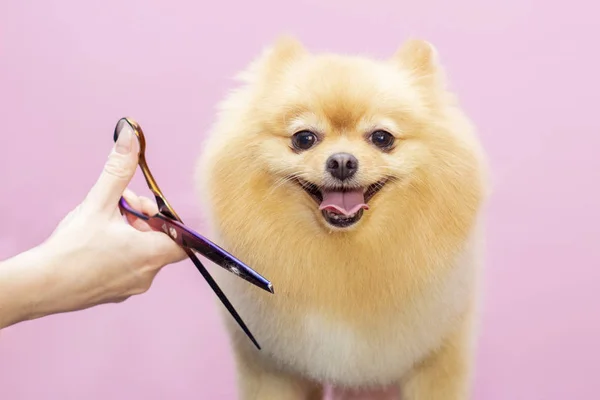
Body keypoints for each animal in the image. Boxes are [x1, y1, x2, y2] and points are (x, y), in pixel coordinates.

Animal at [196, 35, 488, 400]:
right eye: (304, 138)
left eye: (382, 137)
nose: (342, 162)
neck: (343, 256)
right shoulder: (273, 366)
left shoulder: (435, 358)